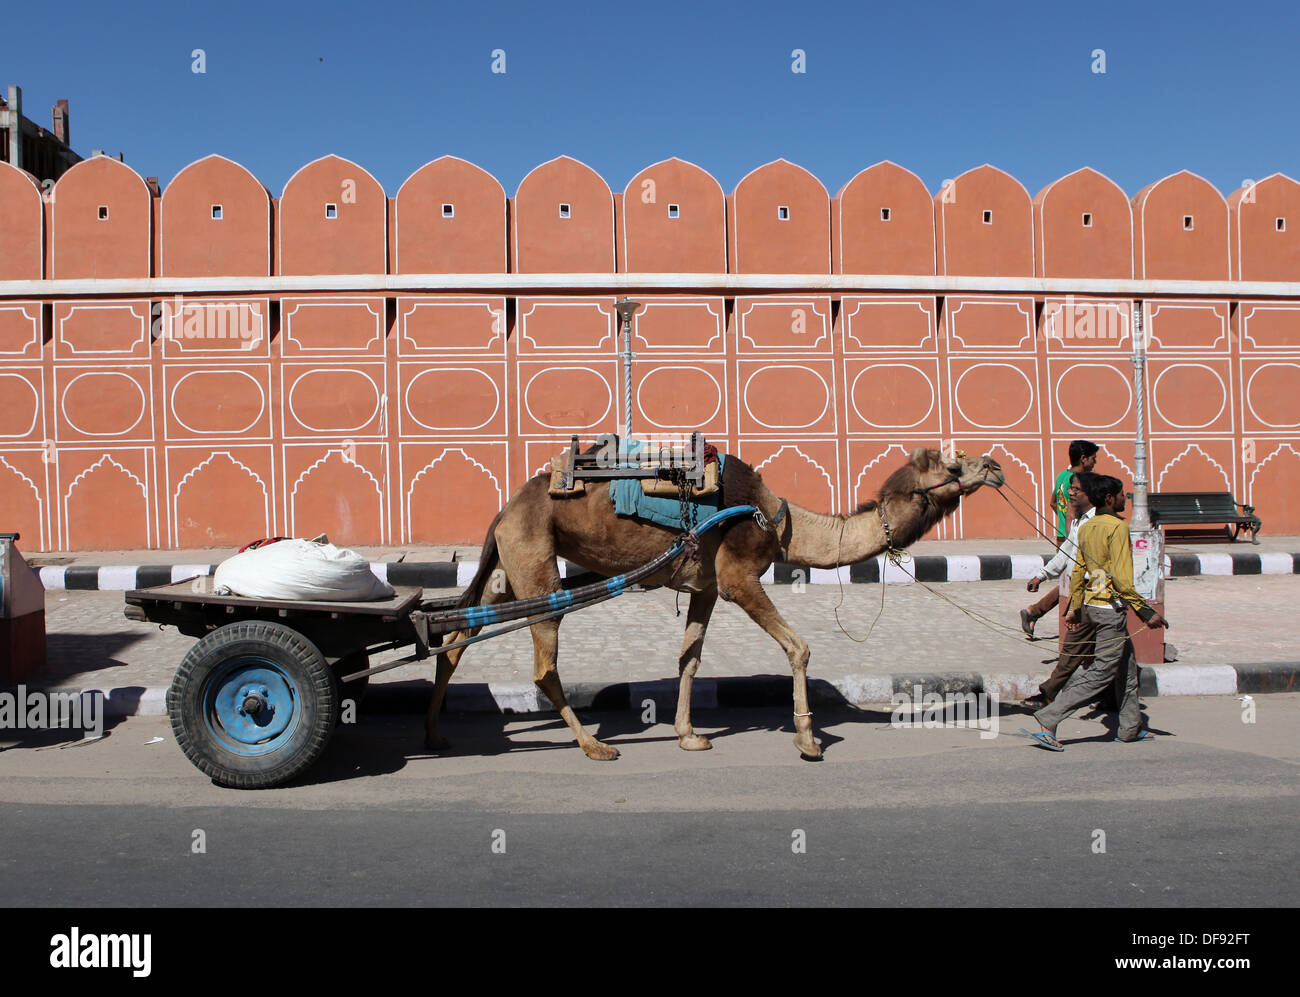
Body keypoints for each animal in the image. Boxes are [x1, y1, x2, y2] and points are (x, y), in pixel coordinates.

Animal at [427, 446, 1004, 760]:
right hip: (536, 564)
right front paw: (808, 740)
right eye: (954, 464)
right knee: (543, 664)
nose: (995, 466)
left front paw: (689, 736)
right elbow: (799, 648)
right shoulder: (738, 575)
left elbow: (689, 658)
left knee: (455, 637)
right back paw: (595, 745)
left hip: (507, 569)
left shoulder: (704, 585)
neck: (782, 523)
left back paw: (436, 734)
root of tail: (503, 512)